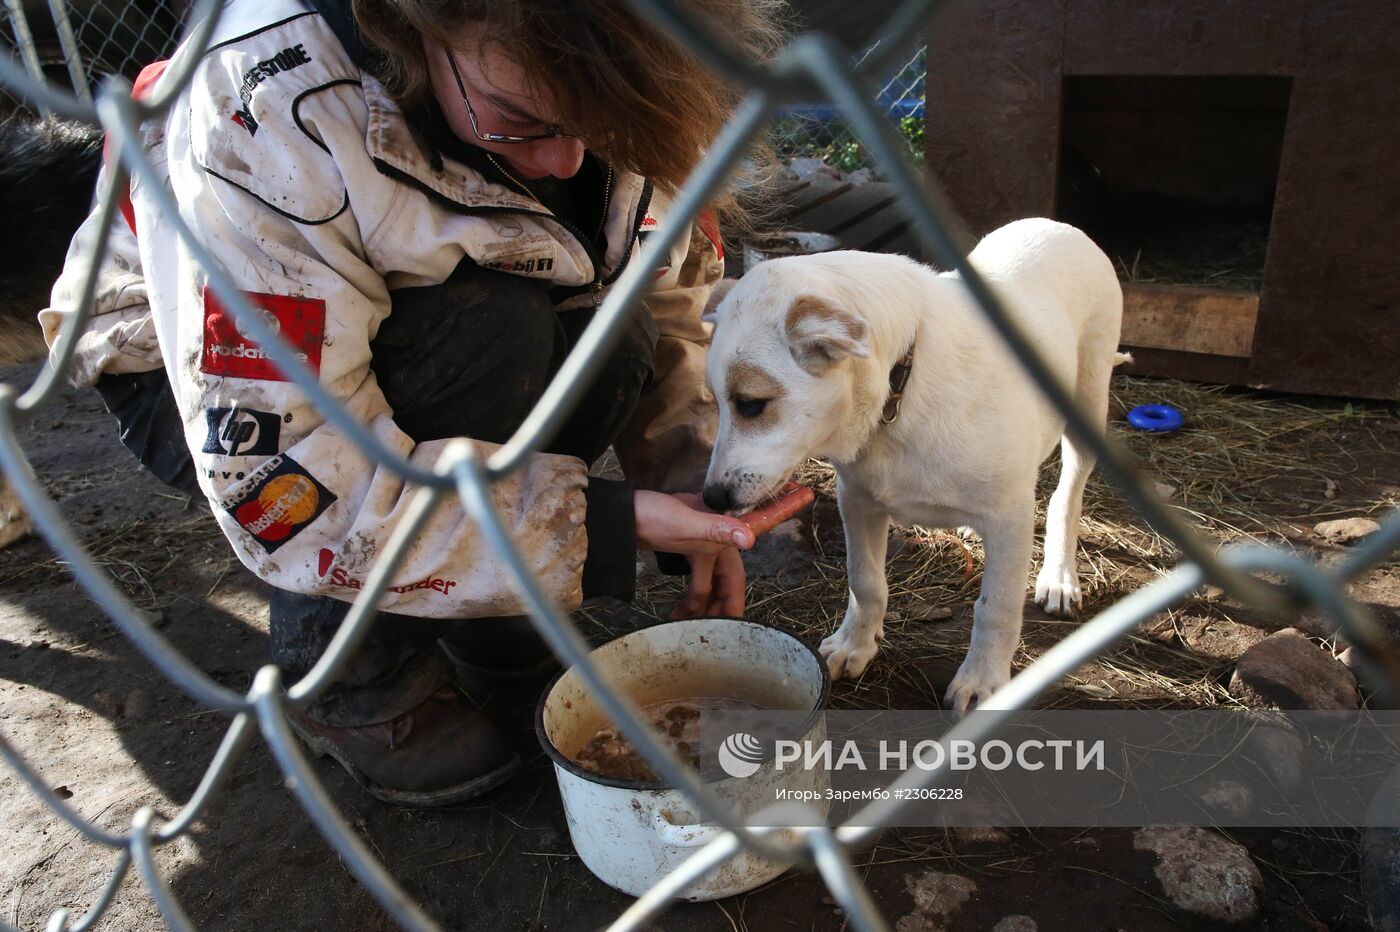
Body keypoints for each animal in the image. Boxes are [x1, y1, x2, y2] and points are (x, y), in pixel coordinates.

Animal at [700, 218, 1125, 710]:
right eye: (717, 403)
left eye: (752, 405)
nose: (711, 499)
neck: (901, 385)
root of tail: (1057, 224)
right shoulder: (857, 500)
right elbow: (865, 582)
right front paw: (855, 646)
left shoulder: (1009, 517)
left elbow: (996, 607)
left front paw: (982, 680)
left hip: (1087, 407)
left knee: (1067, 496)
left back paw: (1059, 577)